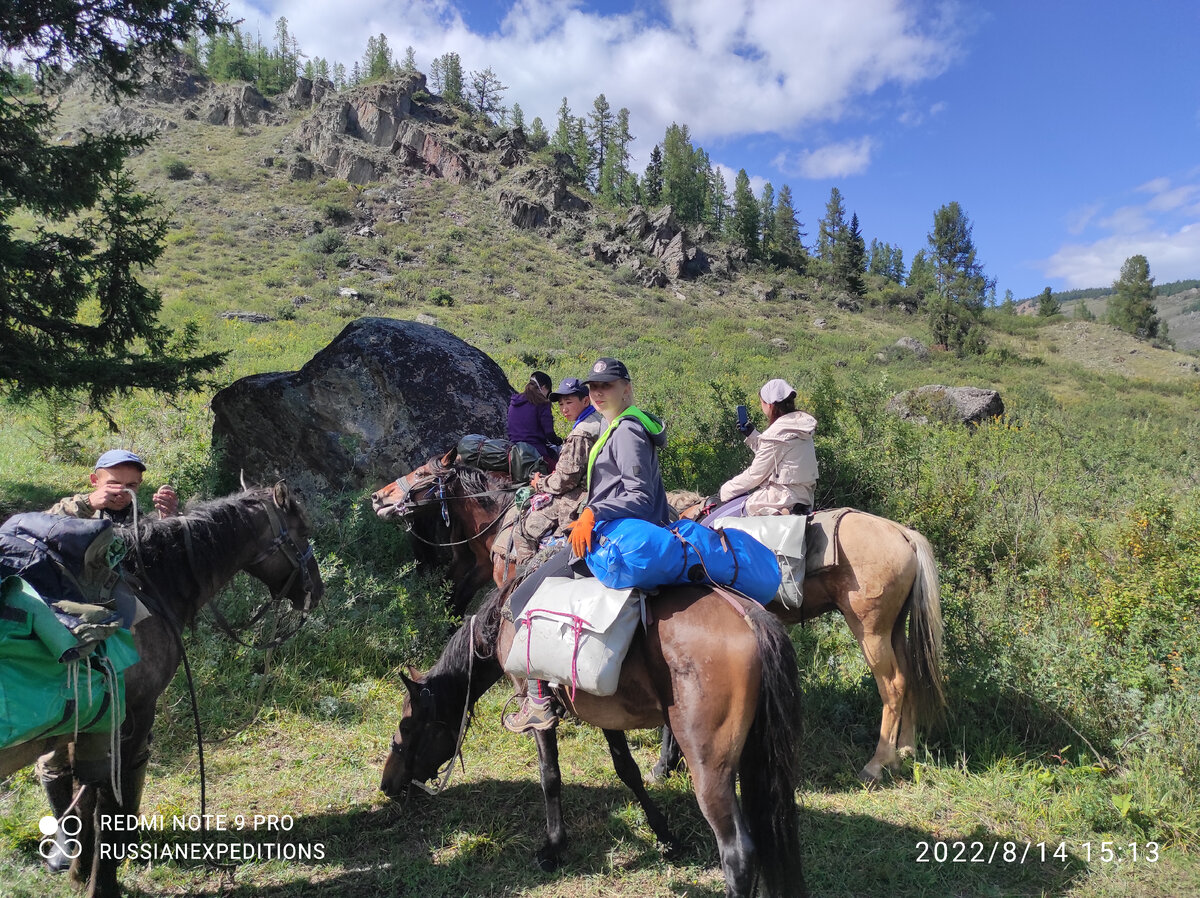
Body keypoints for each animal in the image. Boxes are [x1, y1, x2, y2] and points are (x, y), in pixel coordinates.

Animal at [0, 485, 326, 897]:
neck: (149, 584)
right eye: (303, 531)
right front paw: (103, 882)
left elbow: (85, 791)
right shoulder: (131, 716)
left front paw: (79, 872)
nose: (317, 590)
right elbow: (109, 799)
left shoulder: (88, 727)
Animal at [374, 458, 945, 782]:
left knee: (894, 685)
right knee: (912, 679)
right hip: (893, 628)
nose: (379, 497)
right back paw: (907, 750)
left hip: (869, 628)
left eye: (422, 474)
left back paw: (878, 763)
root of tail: (902, 532)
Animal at [379, 576, 806, 897]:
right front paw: (665, 835)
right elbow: (627, 770)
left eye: (408, 726)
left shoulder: (540, 714)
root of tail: (749, 617)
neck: (498, 623)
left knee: (738, 854)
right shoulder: (603, 711)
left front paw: (554, 847)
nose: (387, 784)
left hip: (710, 769)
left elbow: (550, 776)